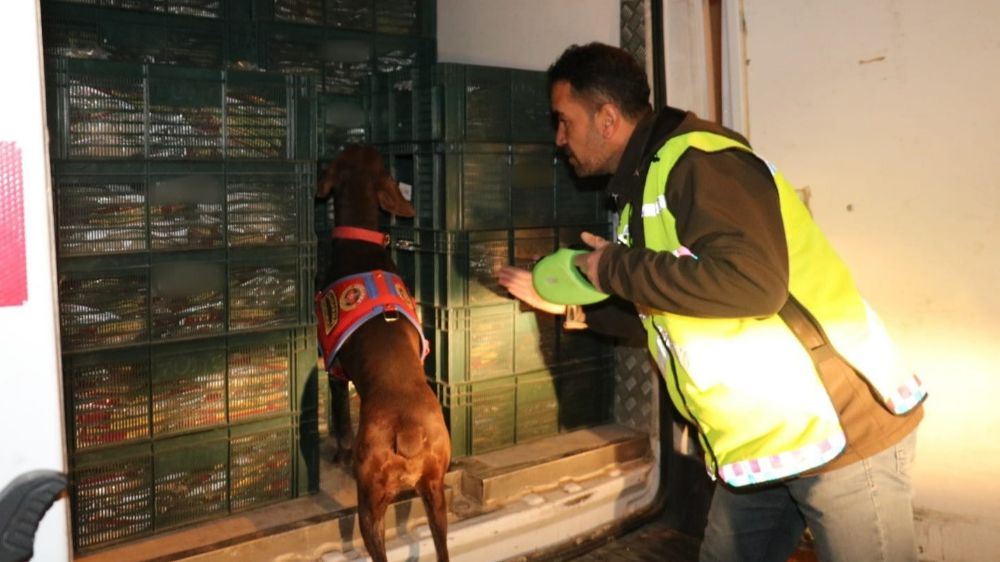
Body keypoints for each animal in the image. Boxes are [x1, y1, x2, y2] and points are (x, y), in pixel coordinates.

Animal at [318, 145, 452, 560]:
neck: (361, 241)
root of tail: (407, 433)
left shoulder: (333, 367)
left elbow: (342, 421)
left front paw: (339, 452)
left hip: (370, 501)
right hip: (435, 492)